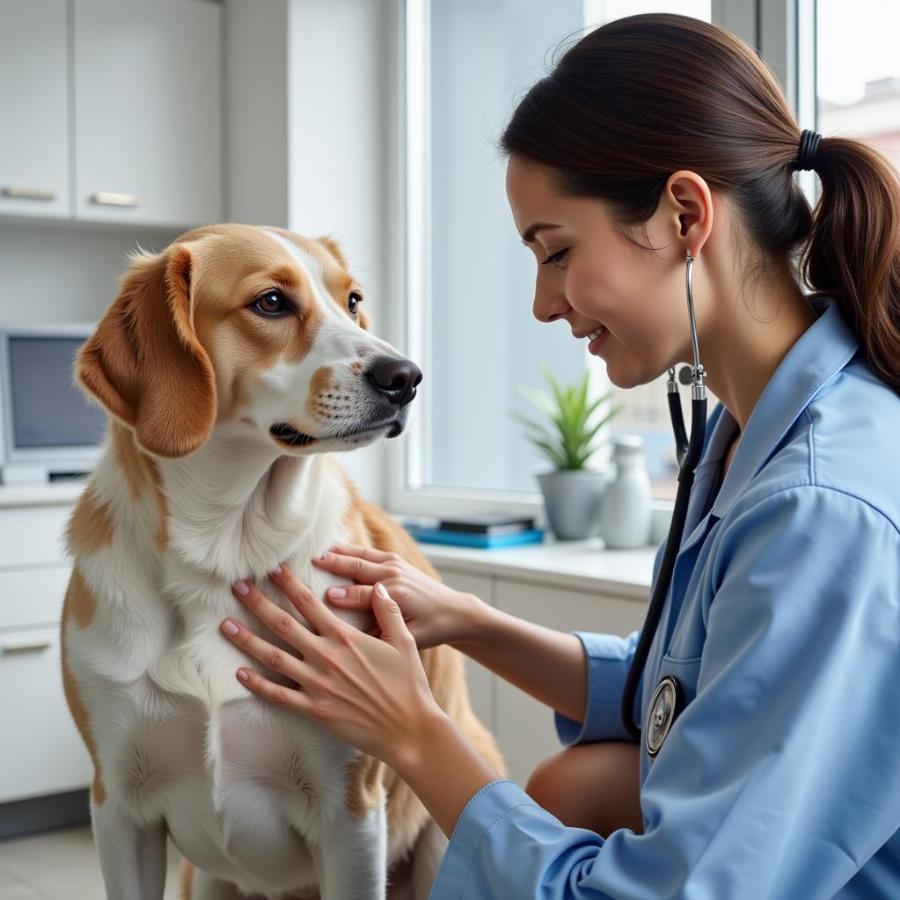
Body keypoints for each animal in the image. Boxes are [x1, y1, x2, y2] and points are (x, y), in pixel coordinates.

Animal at [59, 221, 502, 896]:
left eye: (352, 300)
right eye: (271, 302)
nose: (405, 376)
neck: (221, 550)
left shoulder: (351, 813)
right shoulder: (118, 807)